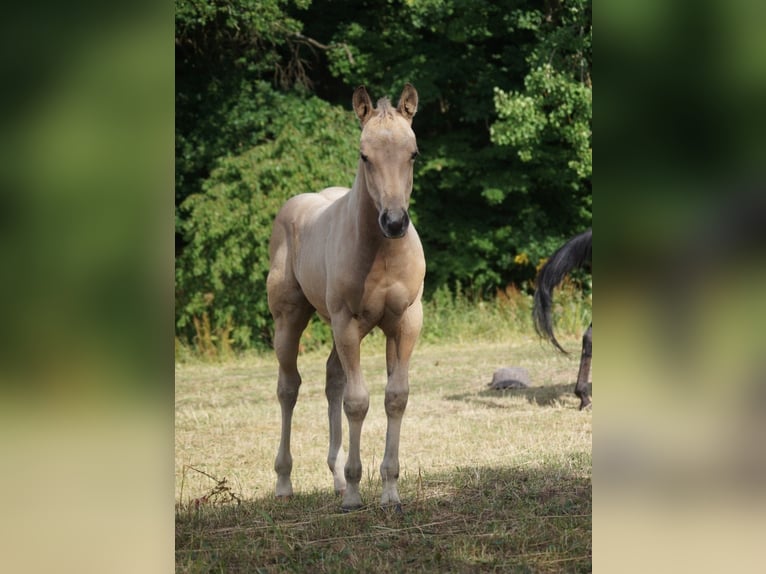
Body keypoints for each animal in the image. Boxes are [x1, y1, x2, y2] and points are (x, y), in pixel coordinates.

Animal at [266, 84, 425, 511]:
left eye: (413, 153)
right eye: (364, 155)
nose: (394, 222)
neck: (381, 253)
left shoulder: (404, 322)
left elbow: (395, 397)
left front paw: (389, 492)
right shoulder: (347, 322)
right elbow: (357, 401)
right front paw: (355, 493)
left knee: (332, 378)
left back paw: (336, 478)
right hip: (291, 320)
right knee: (289, 388)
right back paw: (285, 482)